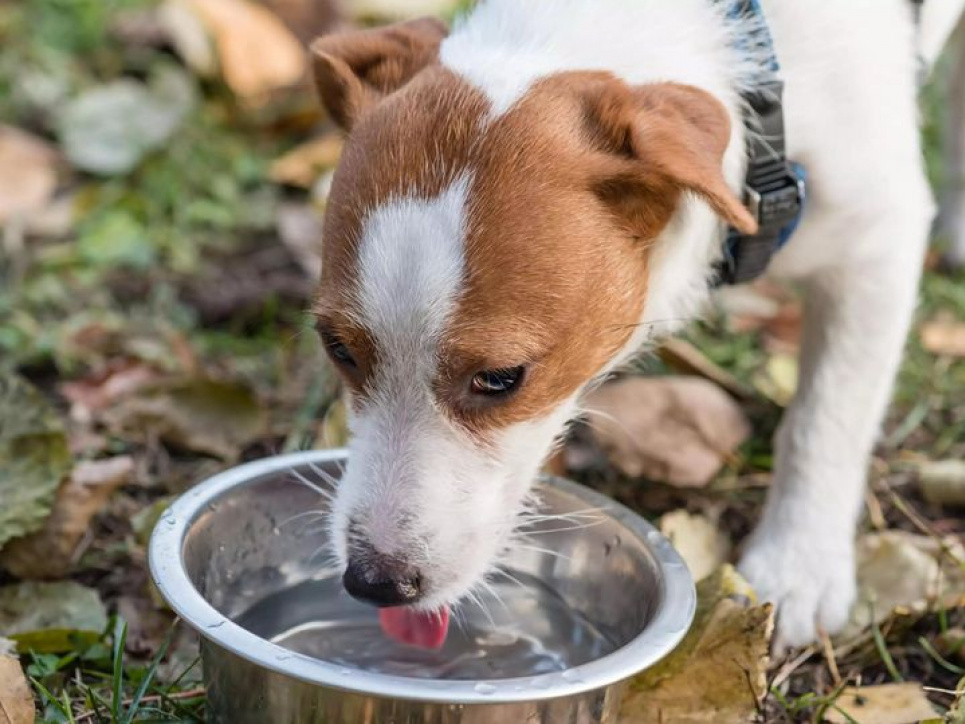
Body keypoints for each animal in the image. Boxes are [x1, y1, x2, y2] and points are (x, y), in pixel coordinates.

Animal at [306, 0, 964, 652]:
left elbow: (825, 420)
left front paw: (799, 564)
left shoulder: (878, 245)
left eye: (501, 378)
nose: (374, 582)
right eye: (337, 348)